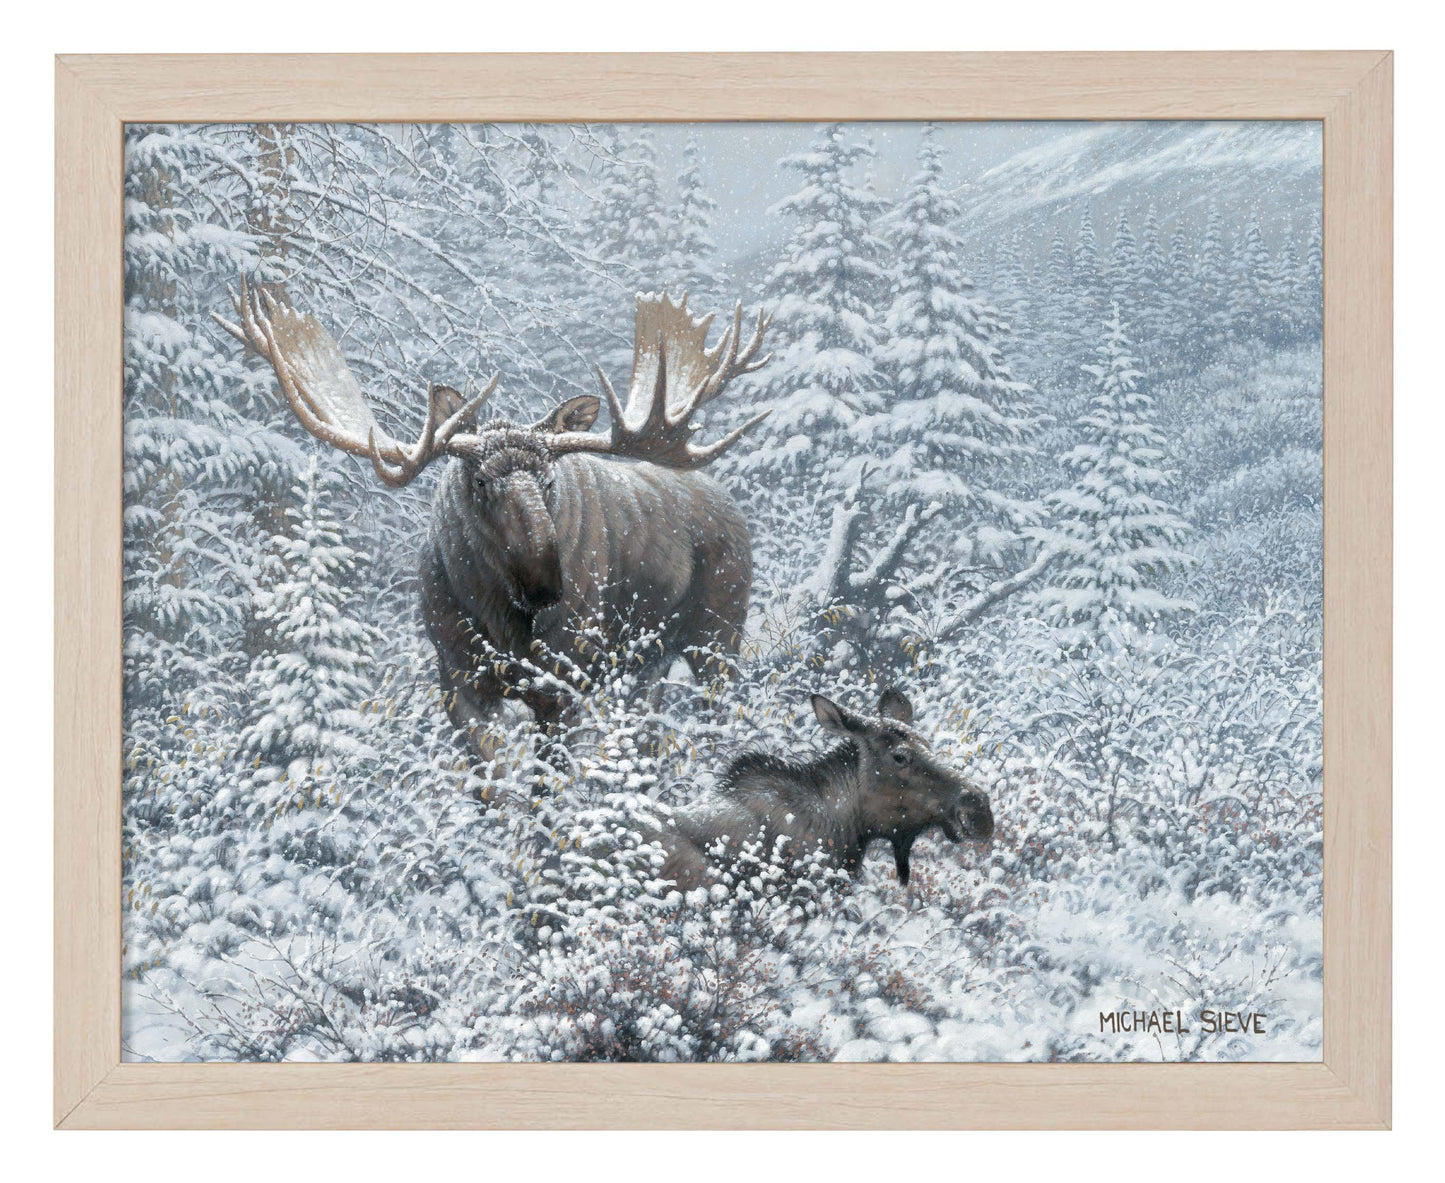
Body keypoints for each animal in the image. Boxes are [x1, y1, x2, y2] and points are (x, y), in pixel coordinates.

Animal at [216, 279, 772, 745]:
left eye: (549, 480)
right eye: (480, 480)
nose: (547, 584)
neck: (499, 620)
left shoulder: (563, 682)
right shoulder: (457, 679)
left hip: (719, 634)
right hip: (648, 664)